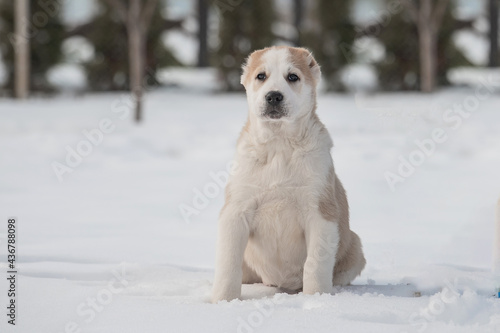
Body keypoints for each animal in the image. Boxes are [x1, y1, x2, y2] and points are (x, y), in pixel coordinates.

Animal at [209, 45, 366, 302]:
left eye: (292, 77)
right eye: (261, 76)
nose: (273, 96)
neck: (279, 145)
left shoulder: (320, 213)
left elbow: (315, 265)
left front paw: (316, 299)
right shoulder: (236, 211)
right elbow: (228, 264)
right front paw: (224, 301)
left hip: (355, 245)